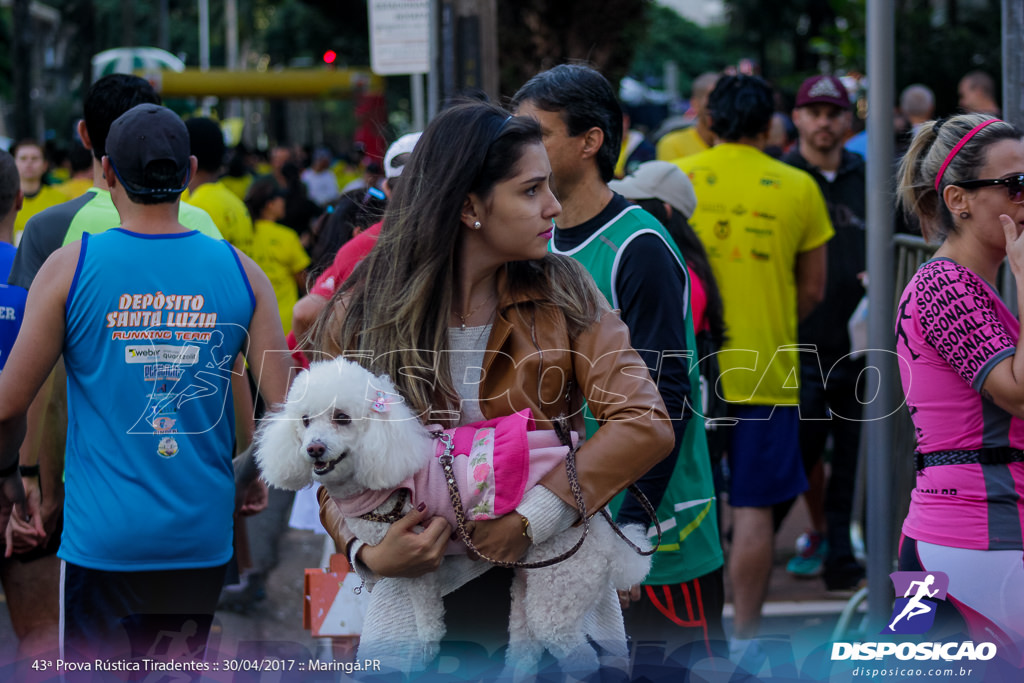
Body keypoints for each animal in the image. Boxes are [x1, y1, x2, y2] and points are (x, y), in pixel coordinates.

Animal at [253, 360, 647, 675]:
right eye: (305, 420)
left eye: (342, 418)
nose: (314, 448)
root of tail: (607, 536)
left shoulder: (417, 558)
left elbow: (426, 611)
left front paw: (428, 643)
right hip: (529, 585)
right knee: (525, 647)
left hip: (561, 584)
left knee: (579, 656)